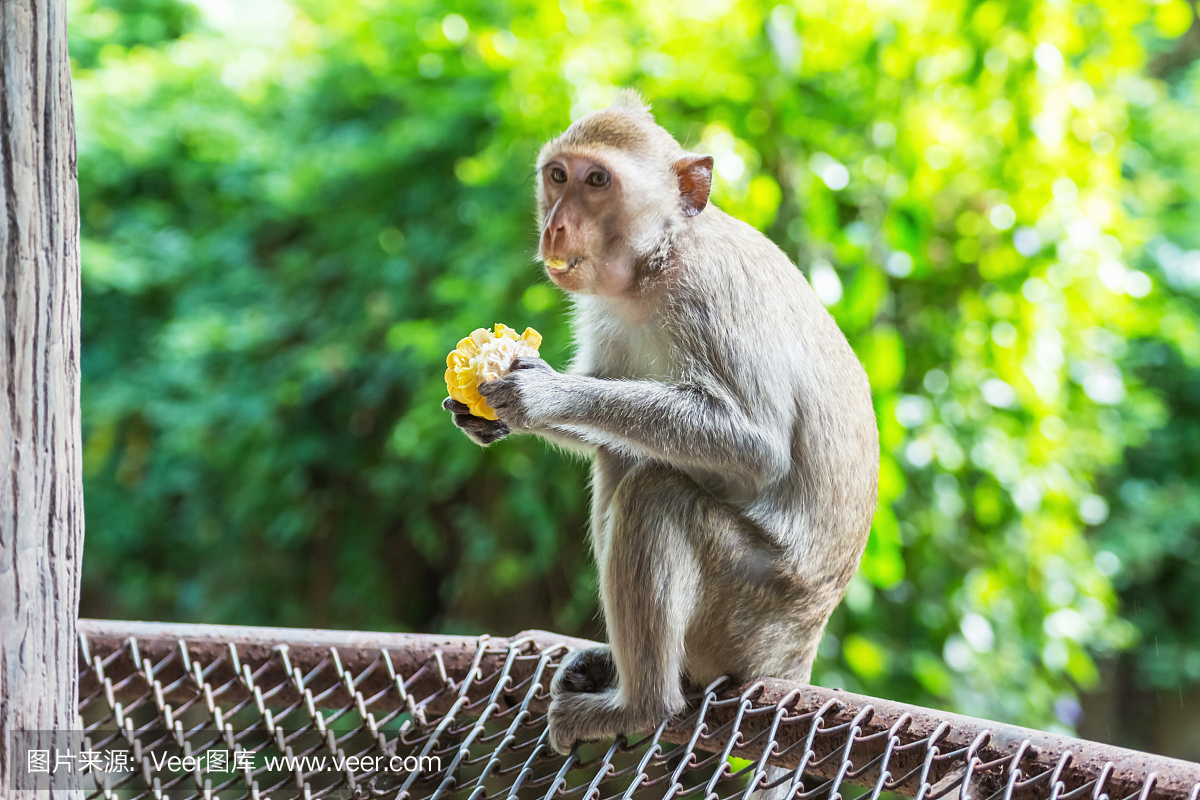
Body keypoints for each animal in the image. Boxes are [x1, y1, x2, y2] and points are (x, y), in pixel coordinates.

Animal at [446, 94, 878, 782]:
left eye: (598, 181)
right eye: (558, 177)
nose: (556, 229)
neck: (657, 262)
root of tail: (797, 652)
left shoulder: (710, 299)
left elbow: (755, 444)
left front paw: (543, 394)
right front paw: (491, 415)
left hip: (750, 609)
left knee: (654, 493)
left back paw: (643, 704)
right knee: (622, 458)